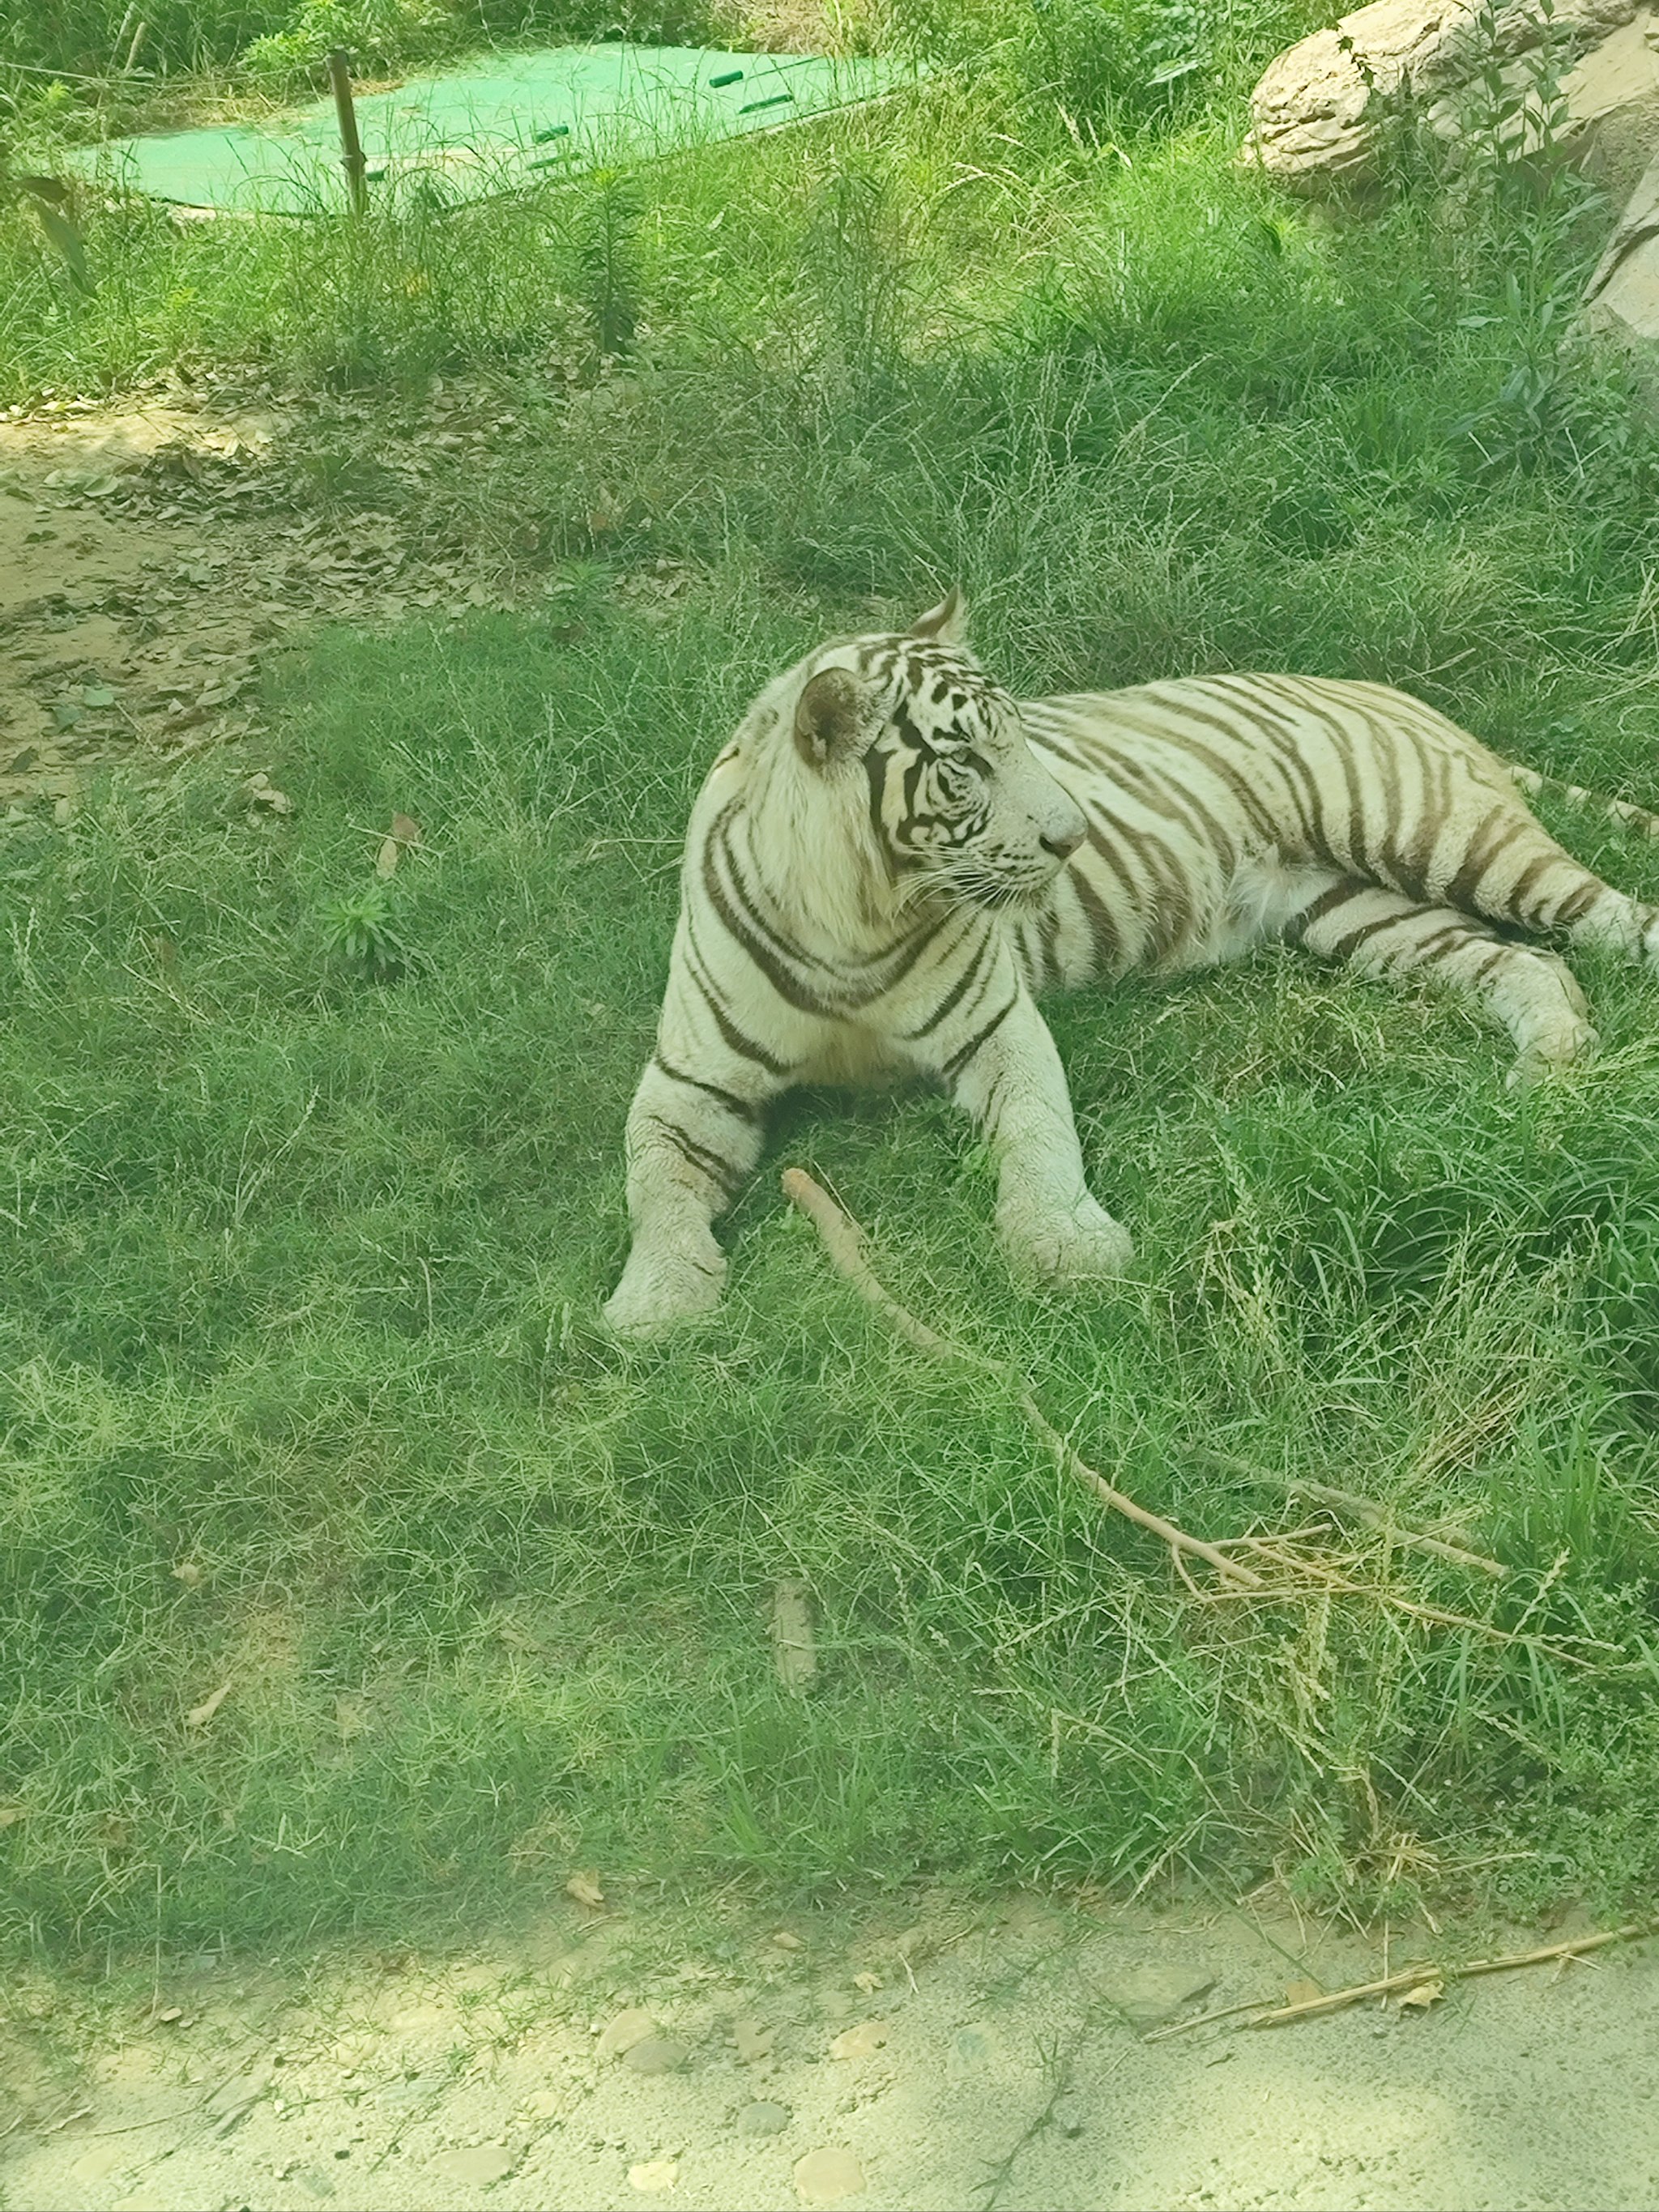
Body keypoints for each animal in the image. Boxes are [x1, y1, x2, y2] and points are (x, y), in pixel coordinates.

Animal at [606, 588, 1659, 1336]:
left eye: (1019, 737)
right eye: (965, 765)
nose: (1072, 835)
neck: (854, 919)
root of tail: (1391, 688)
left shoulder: (996, 1028)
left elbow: (1037, 1134)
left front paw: (1066, 1247)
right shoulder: (692, 1078)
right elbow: (651, 1181)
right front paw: (655, 1302)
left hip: (1433, 833)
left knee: (1609, 920)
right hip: (1355, 913)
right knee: (1527, 967)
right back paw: (1547, 1064)